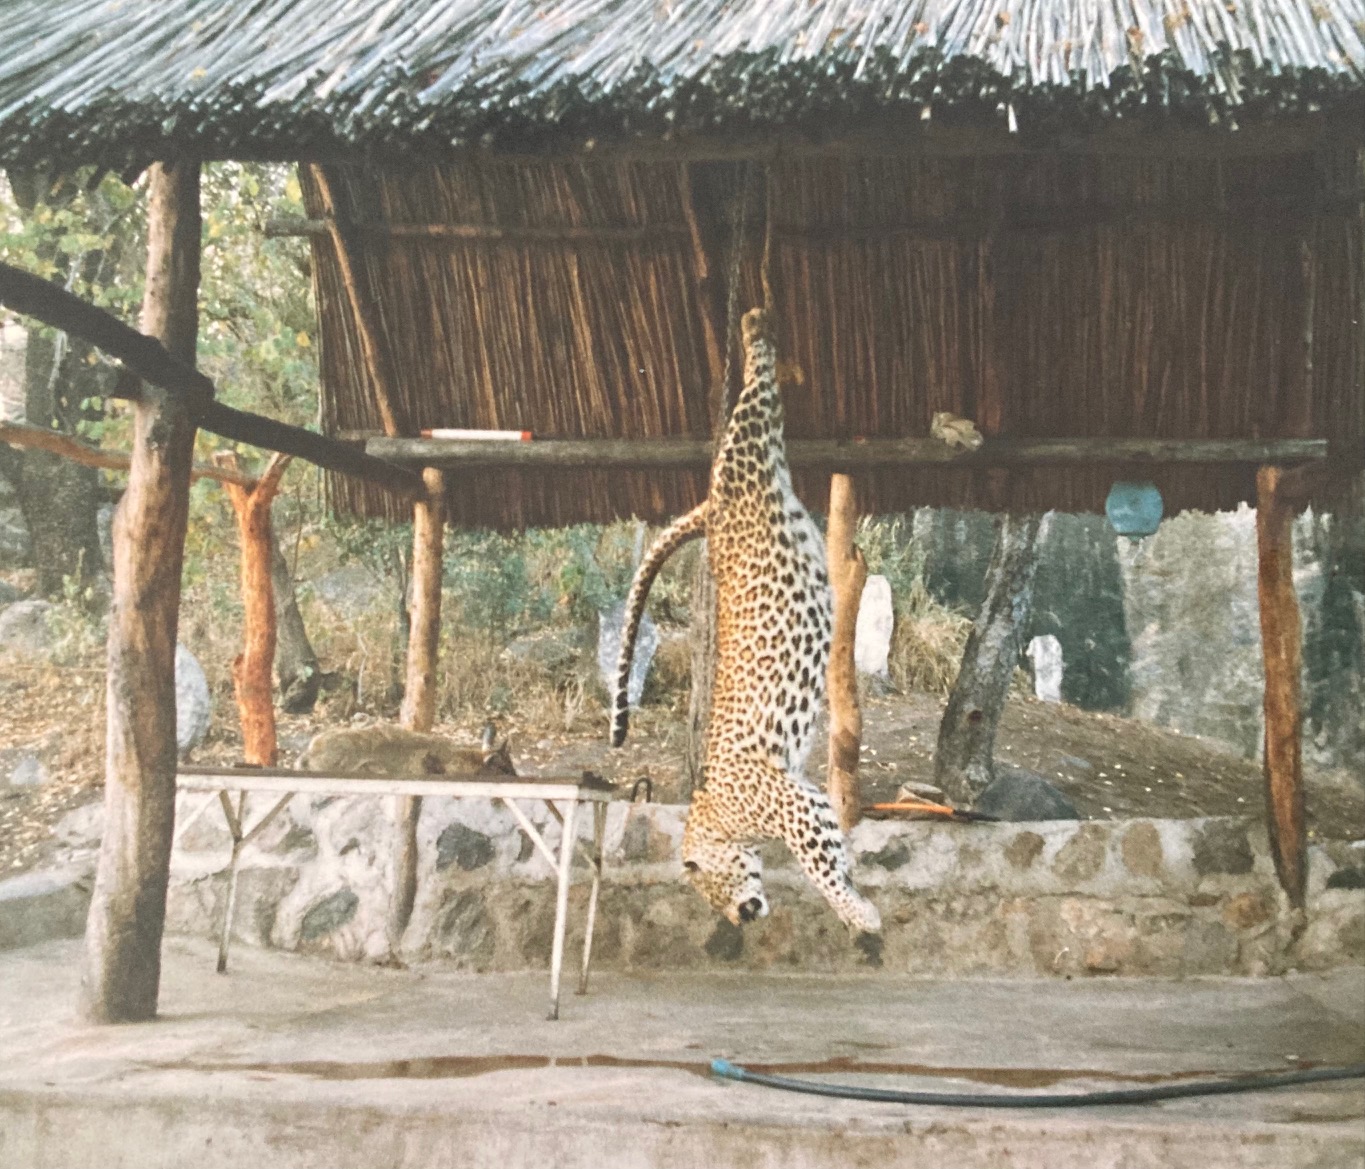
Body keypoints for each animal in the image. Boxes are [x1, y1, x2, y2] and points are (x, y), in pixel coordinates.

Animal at [606, 308, 879, 934]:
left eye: (708, 888)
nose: (740, 919)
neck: (713, 812)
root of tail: (710, 503)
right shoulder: (810, 799)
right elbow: (836, 854)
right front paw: (860, 897)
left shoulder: (795, 806)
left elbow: (823, 869)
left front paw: (857, 913)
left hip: (745, 442)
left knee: (755, 392)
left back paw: (758, 326)